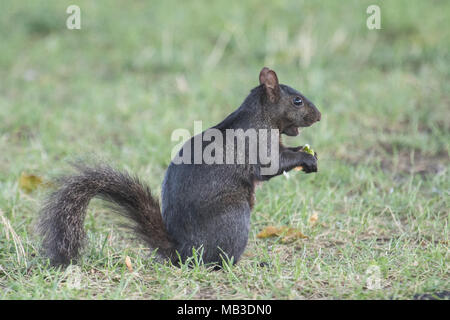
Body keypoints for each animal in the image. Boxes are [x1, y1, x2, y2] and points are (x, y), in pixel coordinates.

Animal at [37, 67, 320, 268]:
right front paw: (306, 159)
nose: (319, 116)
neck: (261, 116)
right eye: (297, 101)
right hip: (235, 216)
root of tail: (183, 251)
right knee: (216, 261)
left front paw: (309, 152)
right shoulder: (259, 144)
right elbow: (271, 166)